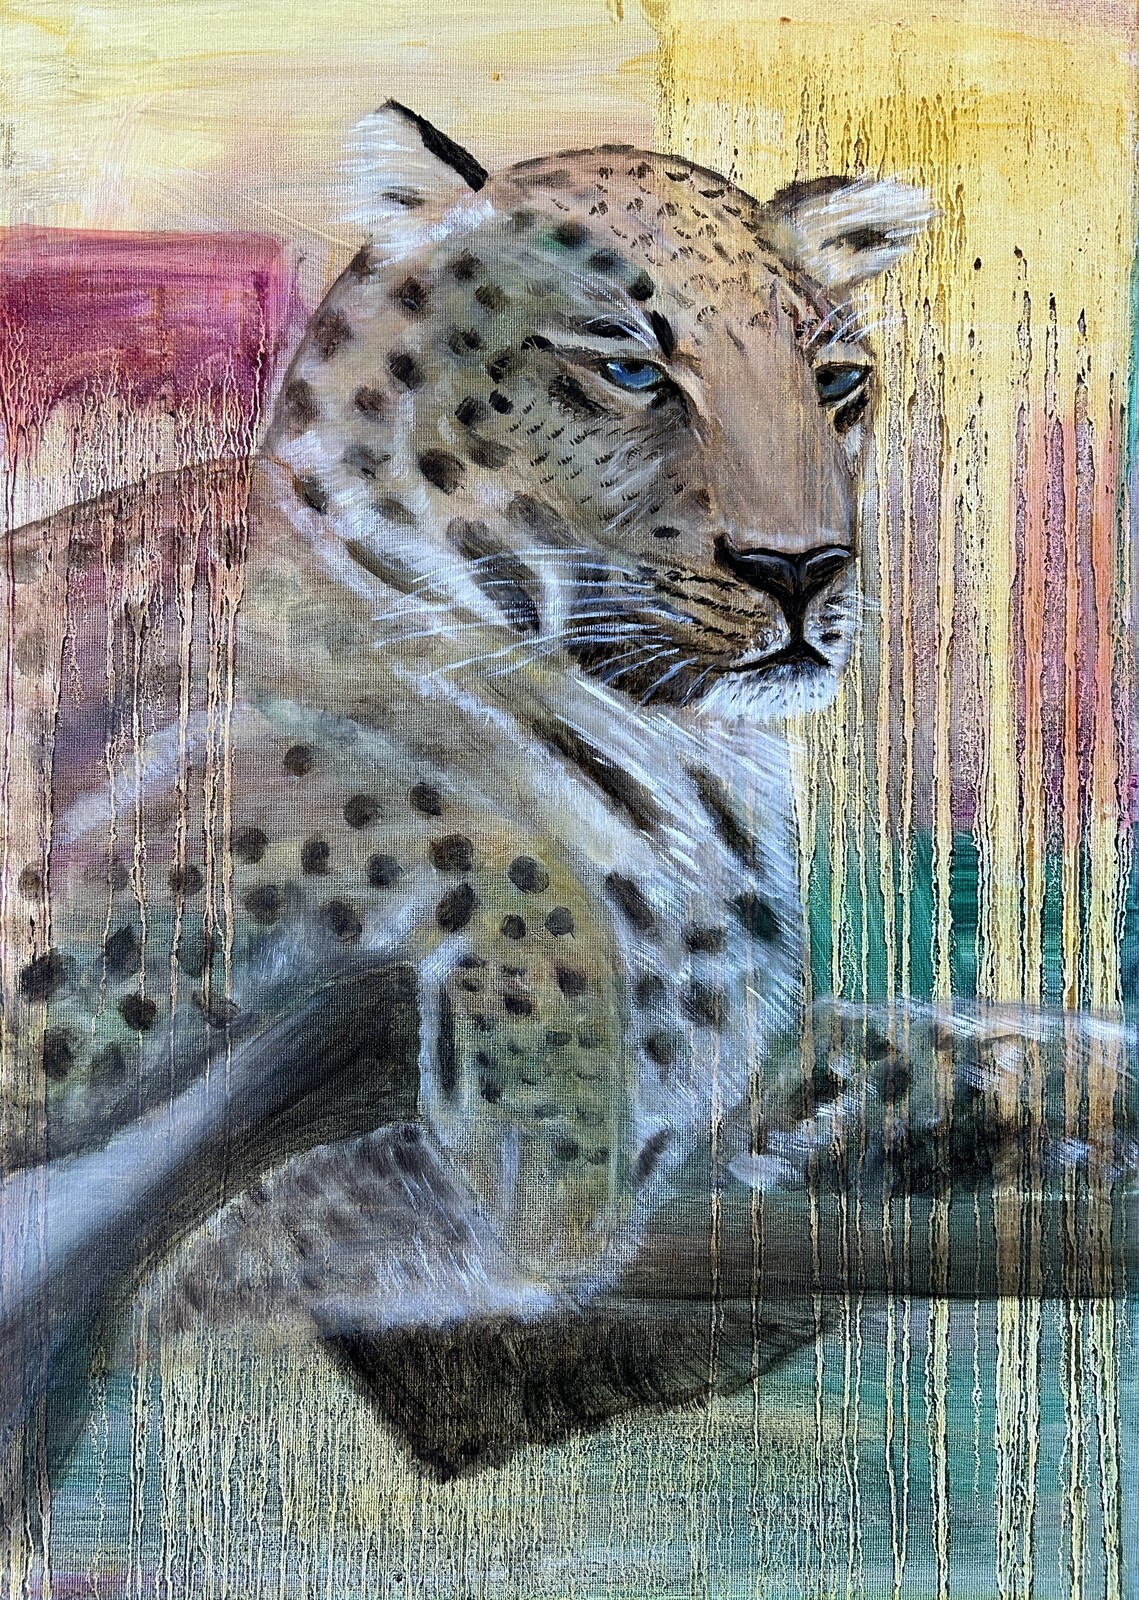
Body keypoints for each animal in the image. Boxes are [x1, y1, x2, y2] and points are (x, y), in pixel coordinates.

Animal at [3, 104, 1135, 1486]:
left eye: (835, 385)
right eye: (631, 373)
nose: (803, 569)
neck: (685, 753)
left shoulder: (716, 1068)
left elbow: (925, 1041)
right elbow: (384, 806)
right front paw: (548, 1161)